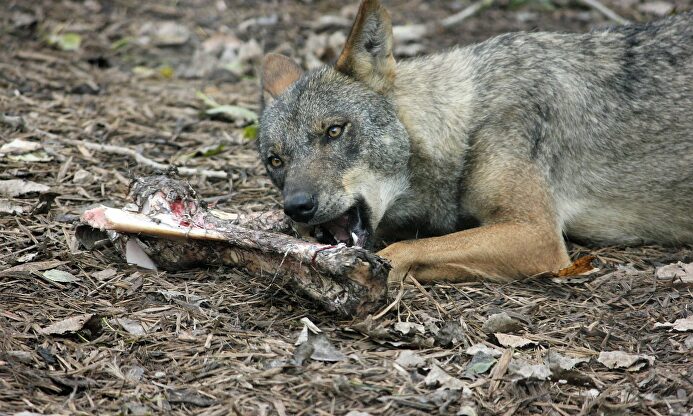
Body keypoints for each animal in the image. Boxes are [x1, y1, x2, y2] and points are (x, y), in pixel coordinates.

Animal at [257, 0, 692, 284]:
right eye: (275, 160)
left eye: (334, 130)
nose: (297, 207)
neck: (466, 124)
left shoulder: (536, 234)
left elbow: (404, 250)